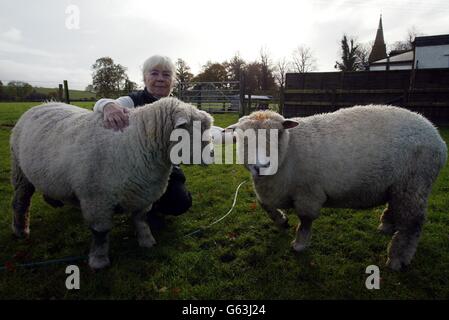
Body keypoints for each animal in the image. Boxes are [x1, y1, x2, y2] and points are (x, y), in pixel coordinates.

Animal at [9, 97, 213, 270]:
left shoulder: (143, 194)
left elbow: (141, 220)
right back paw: (21, 230)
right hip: (20, 171)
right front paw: (99, 261)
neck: (139, 141)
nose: (212, 156)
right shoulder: (97, 200)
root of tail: (42, 104)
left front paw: (147, 241)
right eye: (193, 131)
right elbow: (101, 232)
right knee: (20, 201)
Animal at [226, 105, 446, 270]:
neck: (288, 152)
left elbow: (305, 221)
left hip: (414, 183)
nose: (260, 165)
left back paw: (397, 259)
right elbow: (265, 205)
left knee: (413, 224)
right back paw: (386, 227)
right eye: (242, 138)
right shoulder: (272, 190)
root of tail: (437, 137)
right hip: (399, 187)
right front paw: (282, 221)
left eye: (279, 133)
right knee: (395, 208)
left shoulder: (309, 193)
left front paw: (299, 244)